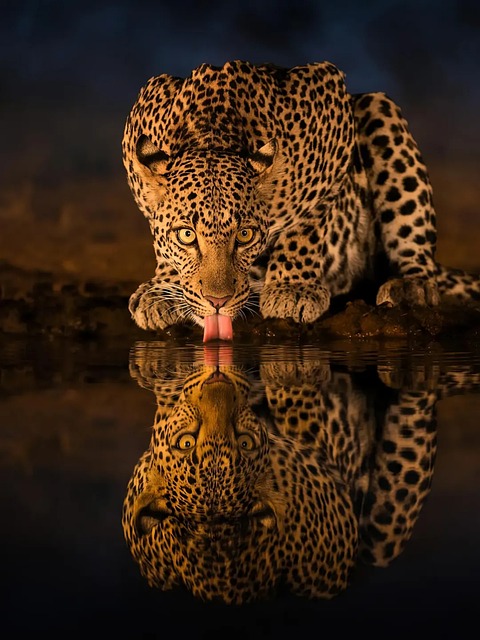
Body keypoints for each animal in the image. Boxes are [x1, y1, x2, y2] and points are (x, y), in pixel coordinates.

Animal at [122, 60, 480, 341]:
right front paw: (163, 289)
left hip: (379, 109)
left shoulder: (332, 112)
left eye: (245, 235)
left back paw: (411, 284)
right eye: (186, 235)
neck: (213, 133)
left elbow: (305, 224)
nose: (217, 302)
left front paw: (292, 289)